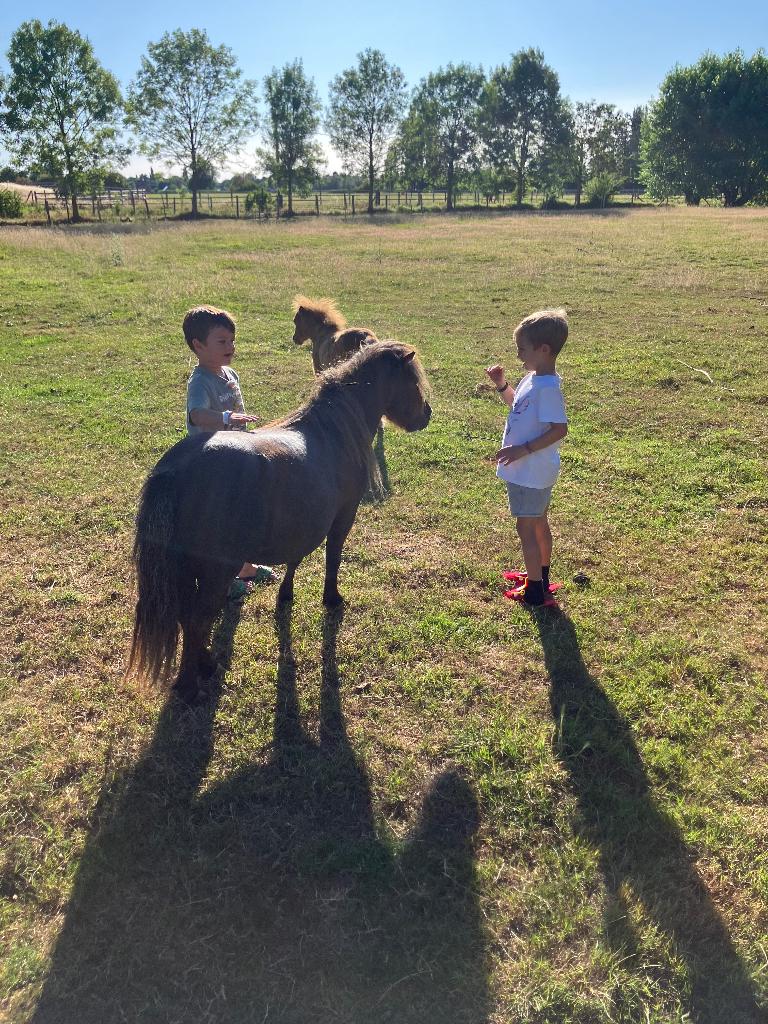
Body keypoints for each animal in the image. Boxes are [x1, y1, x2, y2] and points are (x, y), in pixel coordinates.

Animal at [128, 340, 432, 702]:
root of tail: (175, 469)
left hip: (186, 571)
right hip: (215, 572)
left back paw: (205, 664)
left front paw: (285, 596)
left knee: (188, 620)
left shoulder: (302, 522)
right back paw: (191, 682)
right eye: (412, 381)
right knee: (197, 619)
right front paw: (332, 599)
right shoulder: (343, 516)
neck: (332, 431)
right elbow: (333, 558)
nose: (426, 414)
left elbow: (295, 559)